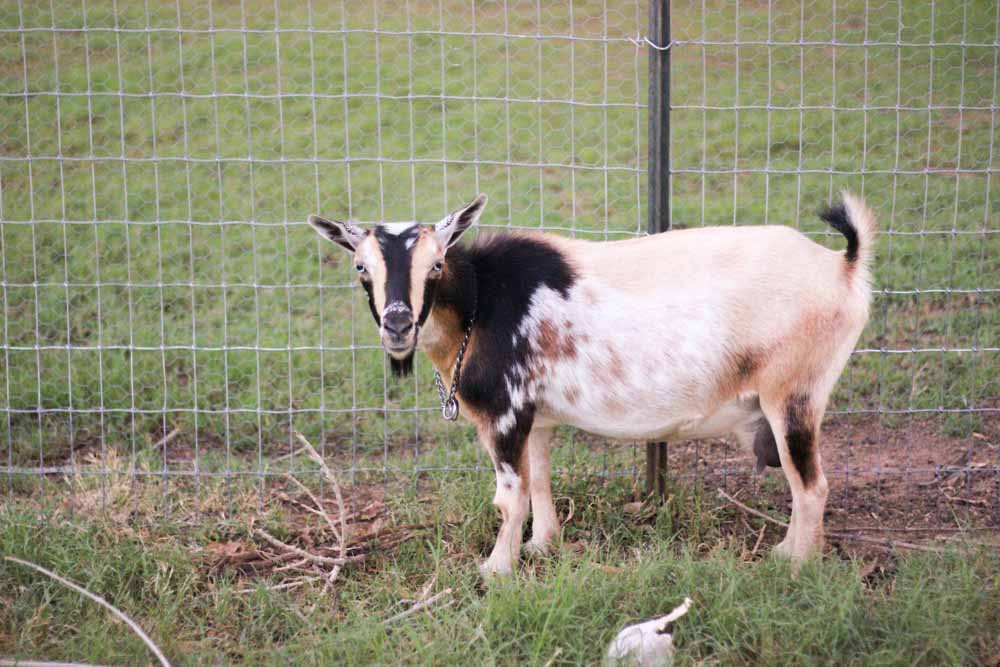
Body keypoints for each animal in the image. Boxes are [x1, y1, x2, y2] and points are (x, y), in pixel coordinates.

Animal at [310, 192, 876, 576]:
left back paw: (796, 565)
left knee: (811, 485)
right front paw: (541, 545)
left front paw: (497, 569)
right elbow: (538, 480)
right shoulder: (534, 417)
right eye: (361, 267)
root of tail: (844, 266)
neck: (481, 301)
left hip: (792, 393)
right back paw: (786, 552)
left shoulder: (505, 414)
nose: (398, 324)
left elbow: (509, 495)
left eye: (436, 264)